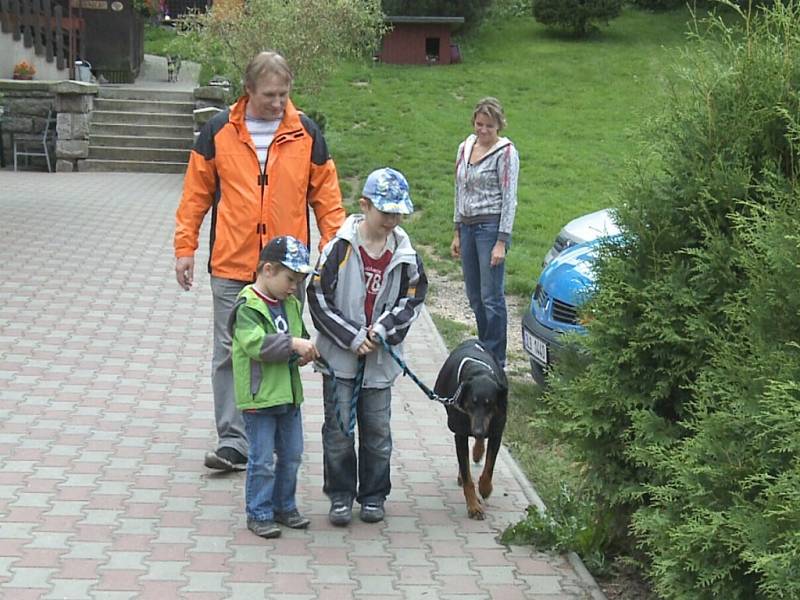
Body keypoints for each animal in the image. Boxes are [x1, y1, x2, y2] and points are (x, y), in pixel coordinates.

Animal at [438, 340, 506, 516]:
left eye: (490, 404)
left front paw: (485, 488)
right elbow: (467, 474)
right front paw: (474, 507)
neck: (479, 371)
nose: (478, 431)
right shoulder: (460, 432)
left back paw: (477, 452)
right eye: (472, 403)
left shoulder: (496, 430)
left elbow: (489, 466)